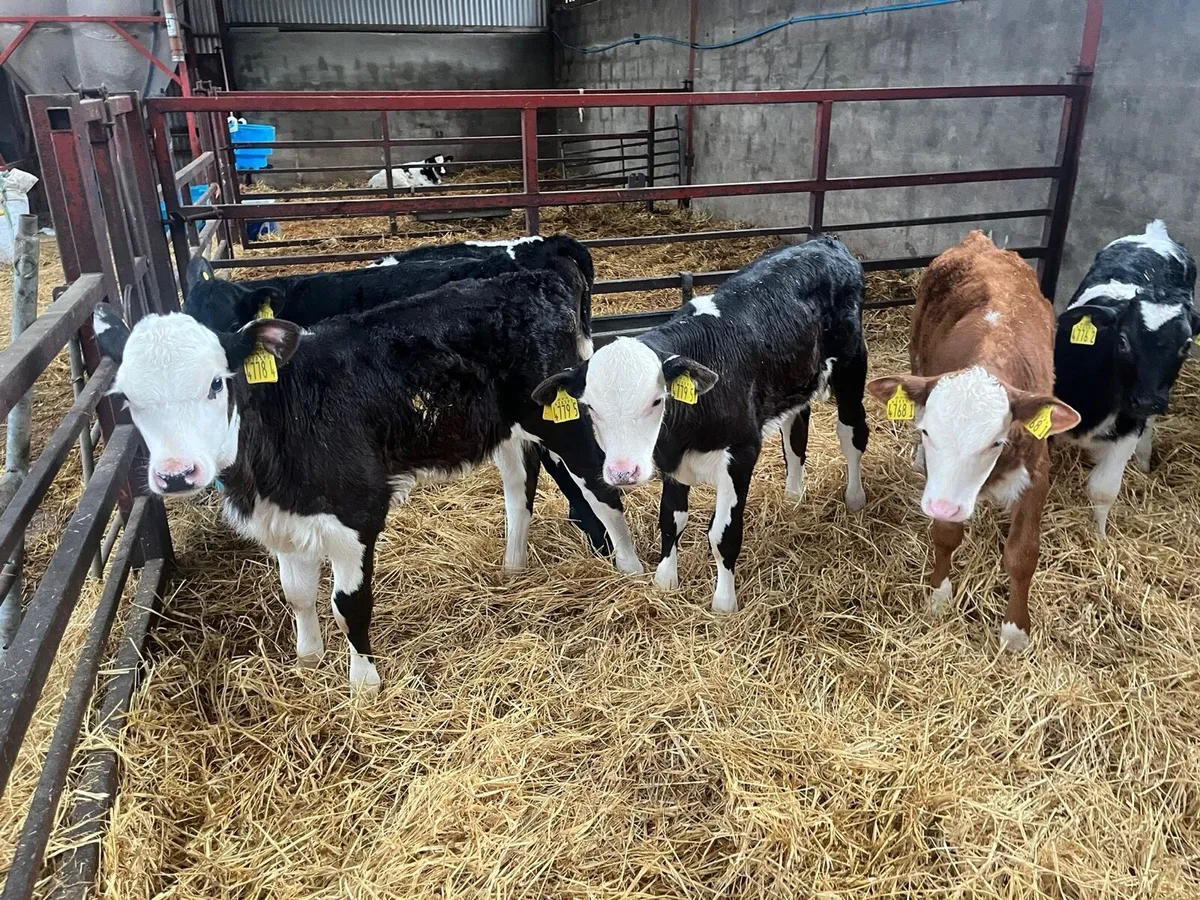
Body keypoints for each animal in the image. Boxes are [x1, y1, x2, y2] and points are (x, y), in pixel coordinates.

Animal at [531, 236, 870, 615]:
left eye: (657, 400)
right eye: (590, 407)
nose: (623, 473)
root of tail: (825, 242)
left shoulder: (741, 453)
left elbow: (723, 534)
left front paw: (724, 603)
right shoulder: (671, 461)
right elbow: (670, 520)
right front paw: (665, 580)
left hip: (852, 363)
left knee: (852, 432)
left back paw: (854, 497)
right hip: (797, 378)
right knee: (795, 432)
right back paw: (794, 496)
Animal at [866, 231, 1081, 652]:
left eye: (997, 442)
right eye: (928, 431)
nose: (944, 505)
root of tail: (980, 241)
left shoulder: (1038, 471)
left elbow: (1023, 553)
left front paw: (1015, 630)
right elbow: (946, 535)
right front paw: (938, 595)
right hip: (916, 352)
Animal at [1053, 220, 1198, 537]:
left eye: (1186, 345)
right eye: (1122, 340)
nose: (1147, 401)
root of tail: (1155, 233)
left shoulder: (1130, 426)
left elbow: (1104, 489)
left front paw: (1100, 539)